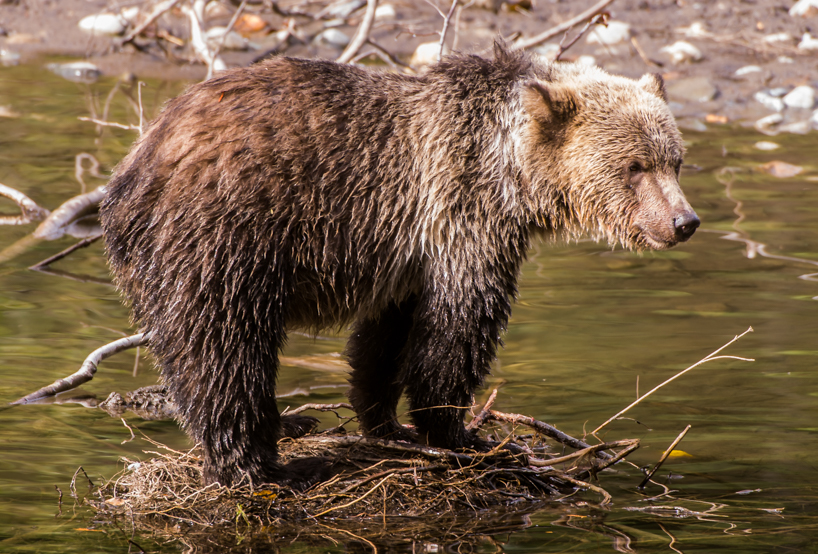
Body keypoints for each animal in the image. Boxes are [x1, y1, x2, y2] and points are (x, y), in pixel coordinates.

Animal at [100, 43, 699, 487]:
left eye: (674, 159)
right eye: (635, 166)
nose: (684, 220)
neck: (513, 172)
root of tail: (135, 165)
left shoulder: (406, 252)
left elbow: (385, 340)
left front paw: (386, 422)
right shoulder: (463, 216)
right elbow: (458, 331)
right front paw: (461, 434)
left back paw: (287, 423)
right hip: (227, 233)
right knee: (223, 345)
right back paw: (256, 463)